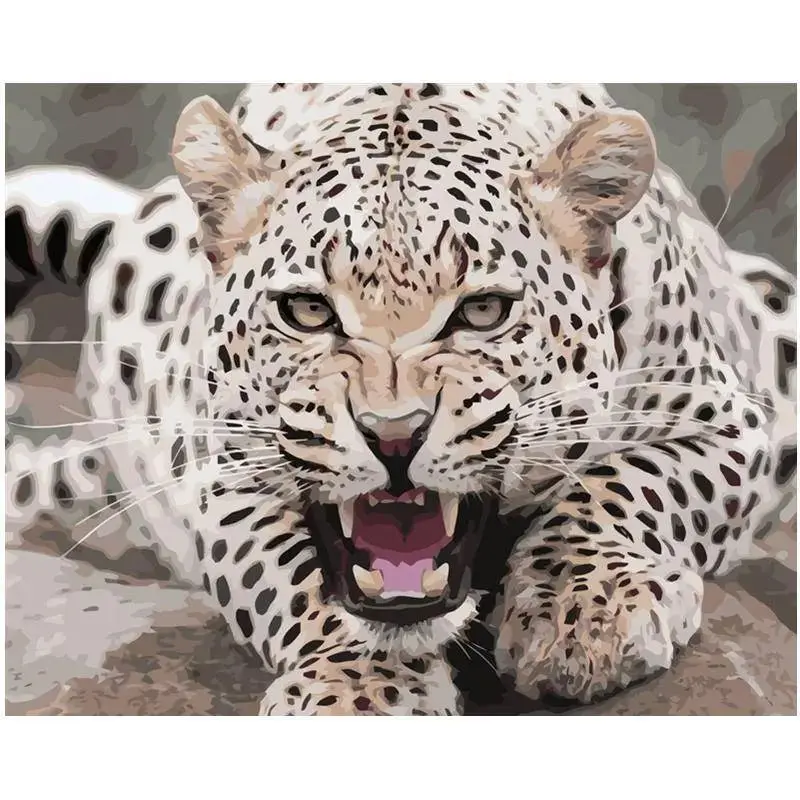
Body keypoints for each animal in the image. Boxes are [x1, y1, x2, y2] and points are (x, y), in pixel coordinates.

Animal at [5, 83, 796, 715]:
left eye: (483, 312)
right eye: (307, 312)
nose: (394, 436)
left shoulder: (729, 418)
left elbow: (624, 485)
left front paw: (583, 616)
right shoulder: (220, 469)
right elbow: (294, 581)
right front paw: (359, 692)